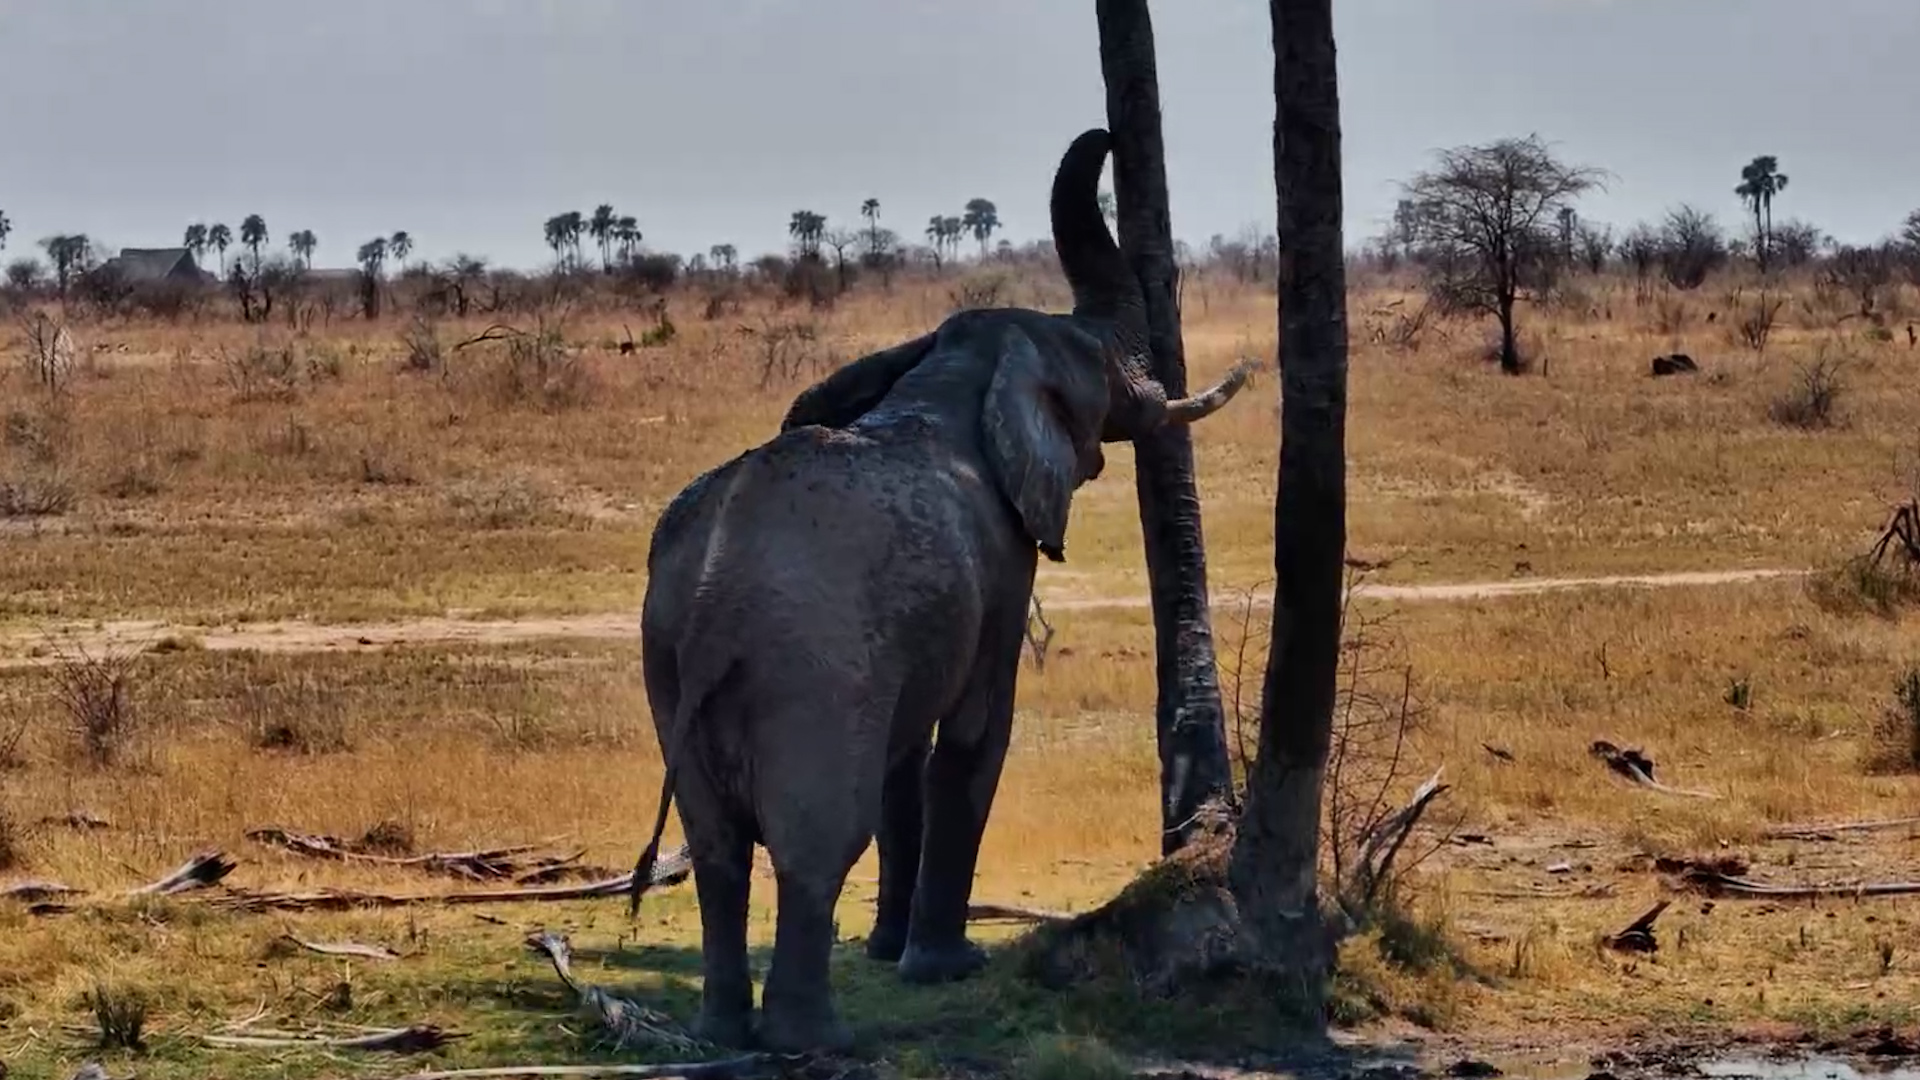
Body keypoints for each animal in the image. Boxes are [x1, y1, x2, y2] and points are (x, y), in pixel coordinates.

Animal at [626, 127, 1255, 1053]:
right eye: (1102, 366)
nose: (1111, 134)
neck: (952, 368)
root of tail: (709, 604)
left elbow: (904, 760)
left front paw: (891, 954)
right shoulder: (1002, 564)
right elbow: (974, 737)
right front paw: (945, 967)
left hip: (668, 663)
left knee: (717, 849)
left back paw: (723, 1031)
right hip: (808, 670)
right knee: (814, 841)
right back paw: (814, 1039)